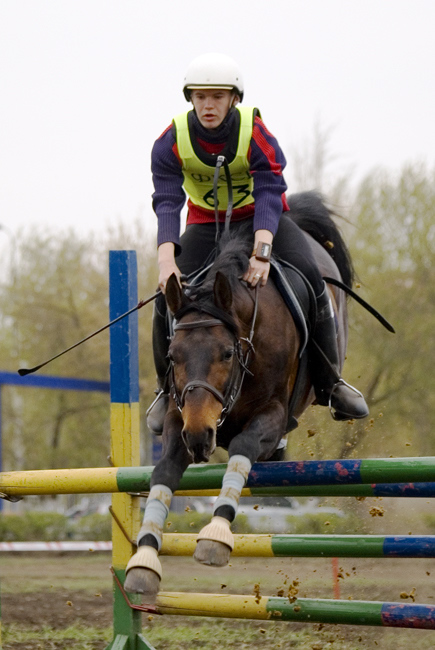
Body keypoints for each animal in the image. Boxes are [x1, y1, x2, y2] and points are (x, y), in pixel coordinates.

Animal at [125, 190, 354, 600]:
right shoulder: (179, 415)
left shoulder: (273, 413)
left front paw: (215, 535)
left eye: (227, 354)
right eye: (172, 355)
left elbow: (242, 446)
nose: (200, 435)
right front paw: (145, 558)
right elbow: (164, 469)